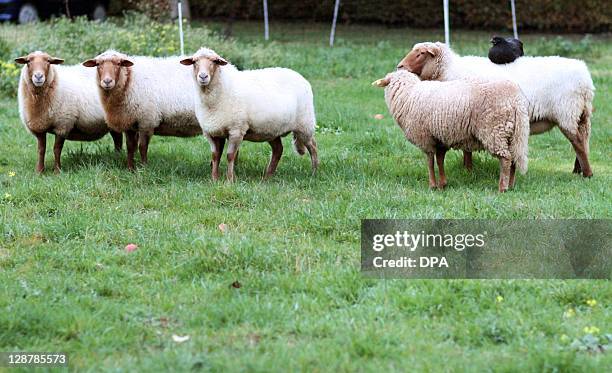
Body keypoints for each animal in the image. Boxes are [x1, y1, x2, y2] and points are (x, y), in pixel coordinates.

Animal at [179, 47, 318, 181]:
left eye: (215, 61)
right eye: (194, 62)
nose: (203, 76)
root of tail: (299, 75)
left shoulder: (236, 130)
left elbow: (230, 156)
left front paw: (230, 180)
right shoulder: (212, 132)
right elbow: (215, 156)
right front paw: (214, 180)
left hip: (304, 124)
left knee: (313, 146)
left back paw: (314, 172)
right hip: (272, 129)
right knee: (278, 150)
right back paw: (267, 177)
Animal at [372, 69, 532, 192]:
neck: (408, 95)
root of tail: (516, 100)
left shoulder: (425, 138)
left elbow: (430, 162)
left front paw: (432, 185)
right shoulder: (440, 138)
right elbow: (440, 160)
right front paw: (443, 184)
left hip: (494, 131)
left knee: (505, 159)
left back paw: (502, 187)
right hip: (513, 133)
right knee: (513, 159)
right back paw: (511, 185)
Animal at [400, 42, 596, 177]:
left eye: (421, 54)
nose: (400, 66)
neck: (449, 70)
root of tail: (585, 79)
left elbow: (467, 148)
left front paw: (467, 169)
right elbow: (467, 147)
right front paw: (467, 169)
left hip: (566, 112)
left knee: (578, 142)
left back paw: (587, 174)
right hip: (581, 115)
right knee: (583, 142)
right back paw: (578, 170)